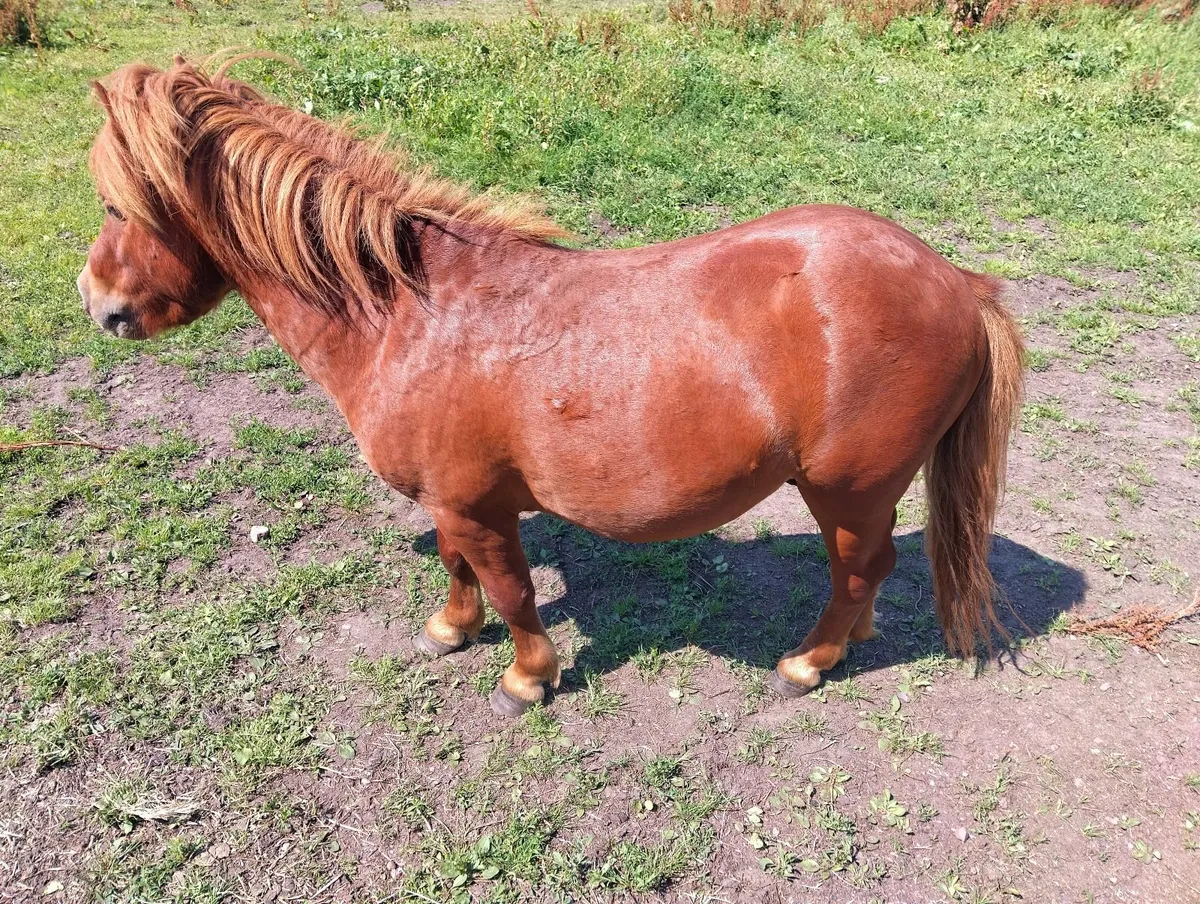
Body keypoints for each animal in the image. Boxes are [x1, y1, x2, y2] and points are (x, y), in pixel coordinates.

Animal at [78, 56, 1024, 717]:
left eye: (120, 206)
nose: (99, 303)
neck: (409, 316)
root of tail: (955, 282)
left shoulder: (477, 507)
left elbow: (513, 591)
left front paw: (527, 678)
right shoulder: (453, 501)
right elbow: (457, 570)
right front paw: (451, 630)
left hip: (848, 488)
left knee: (863, 567)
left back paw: (809, 662)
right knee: (864, 570)